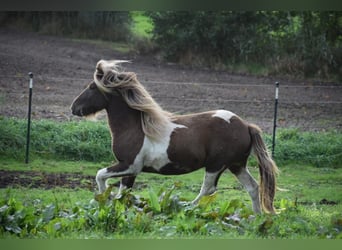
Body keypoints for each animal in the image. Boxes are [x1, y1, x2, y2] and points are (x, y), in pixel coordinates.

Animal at [71, 58, 280, 213]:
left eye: (92, 87)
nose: (74, 108)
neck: (134, 128)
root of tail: (246, 125)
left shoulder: (130, 165)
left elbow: (100, 175)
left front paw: (103, 200)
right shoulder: (131, 171)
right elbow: (124, 193)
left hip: (216, 165)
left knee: (208, 189)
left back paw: (186, 207)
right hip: (236, 165)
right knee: (253, 187)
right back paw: (257, 218)